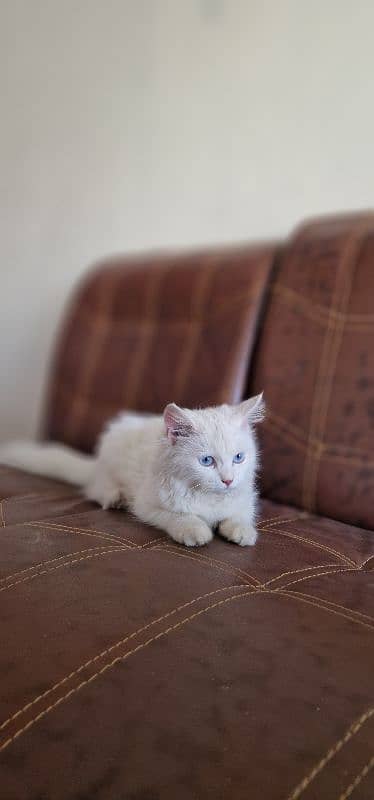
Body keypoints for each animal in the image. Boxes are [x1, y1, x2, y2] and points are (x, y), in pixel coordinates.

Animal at [0, 396, 264, 548]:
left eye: (239, 458)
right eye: (207, 461)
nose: (228, 480)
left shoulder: (245, 500)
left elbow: (239, 515)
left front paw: (242, 532)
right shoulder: (148, 505)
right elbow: (180, 516)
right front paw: (195, 531)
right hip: (109, 468)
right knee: (96, 489)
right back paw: (116, 498)